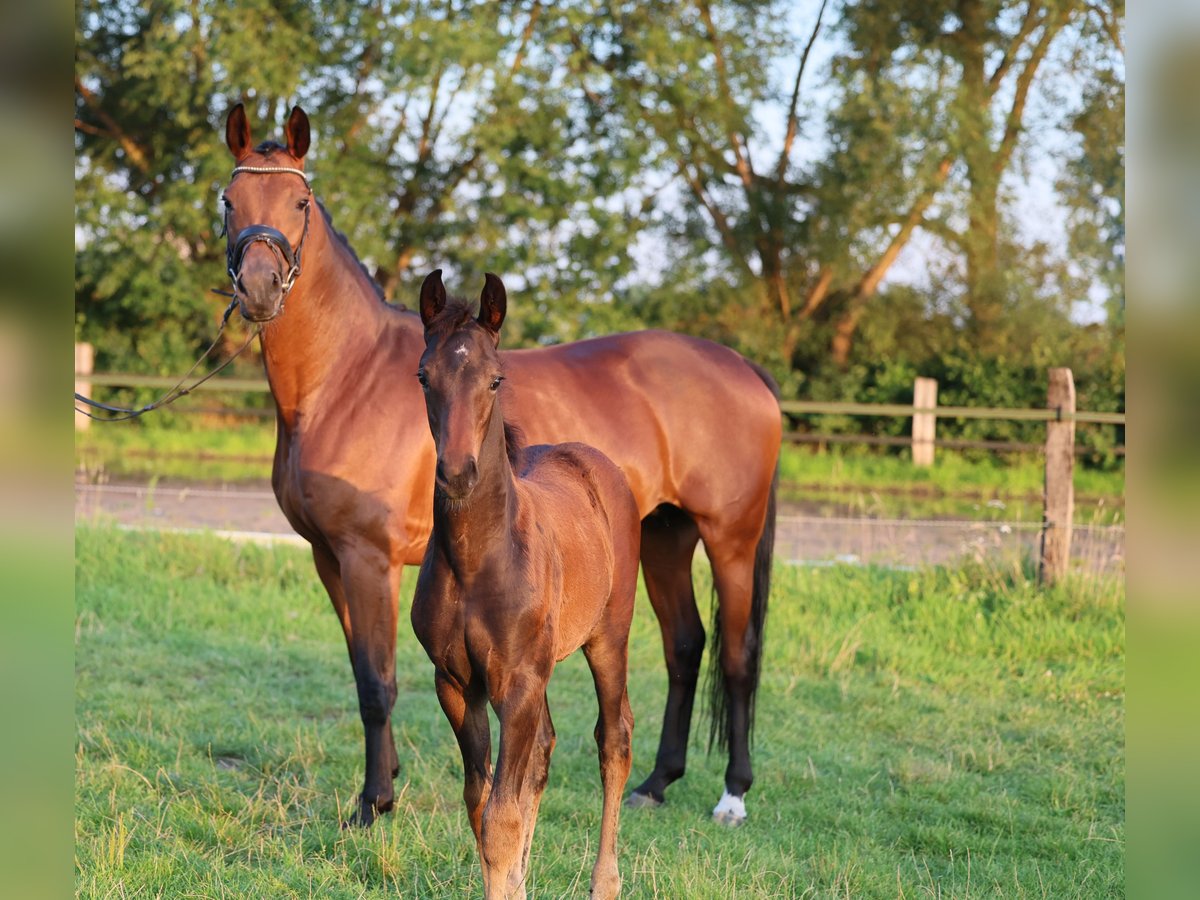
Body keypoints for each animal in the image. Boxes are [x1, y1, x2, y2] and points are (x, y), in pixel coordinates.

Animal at [220, 102, 782, 830]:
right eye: (229, 201)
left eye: (300, 201)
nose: (259, 288)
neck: (345, 378)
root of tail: (744, 369)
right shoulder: (329, 557)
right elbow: (363, 672)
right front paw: (385, 784)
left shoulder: (368, 558)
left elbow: (377, 683)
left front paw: (373, 802)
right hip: (664, 536)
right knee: (685, 647)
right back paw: (657, 782)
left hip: (730, 538)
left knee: (738, 656)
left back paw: (733, 794)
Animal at [410, 274, 643, 900]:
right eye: (423, 375)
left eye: (495, 378)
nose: (457, 473)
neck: (477, 560)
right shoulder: (456, 683)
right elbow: (481, 804)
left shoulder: (516, 684)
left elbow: (502, 818)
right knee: (542, 752)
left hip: (608, 638)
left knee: (614, 740)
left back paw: (605, 882)